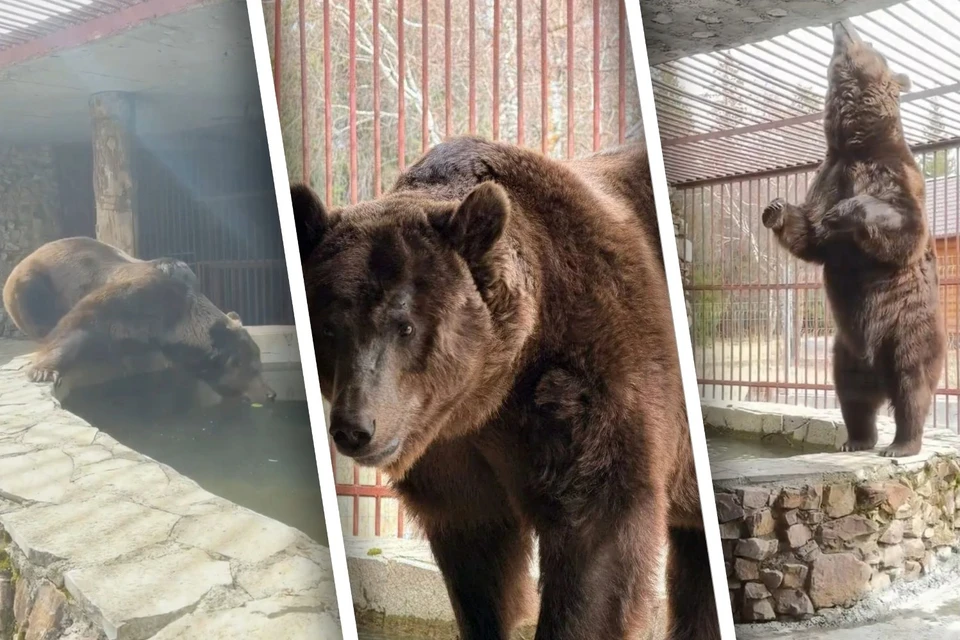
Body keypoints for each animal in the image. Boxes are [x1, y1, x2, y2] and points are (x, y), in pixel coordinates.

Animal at [3, 237, 276, 404]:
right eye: (253, 368)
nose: (270, 393)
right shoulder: (132, 297)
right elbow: (77, 324)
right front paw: (44, 371)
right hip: (33, 284)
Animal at [292, 136, 720, 640]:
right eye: (329, 327)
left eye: (405, 326)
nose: (355, 428)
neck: (491, 389)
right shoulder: (452, 454)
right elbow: (480, 567)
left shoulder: (592, 375)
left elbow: (597, 536)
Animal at [761, 20, 946, 457]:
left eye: (871, 41)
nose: (842, 22)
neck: (857, 143)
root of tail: (877, 370)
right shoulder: (828, 173)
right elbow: (812, 238)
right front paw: (776, 208)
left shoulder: (896, 175)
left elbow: (905, 228)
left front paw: (844, 213)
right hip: (844, 349)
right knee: (853, 396)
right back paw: (857, 439)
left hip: (908, 328)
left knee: (912, 384)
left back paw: (902, 443)